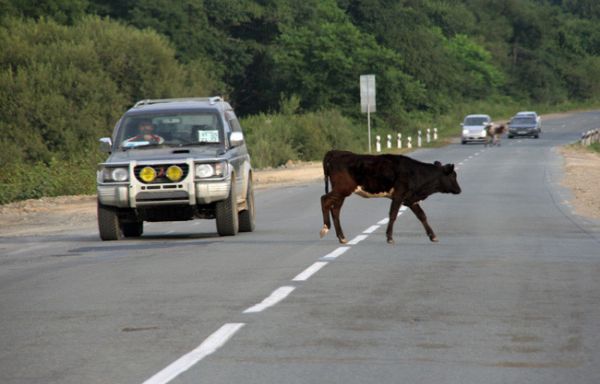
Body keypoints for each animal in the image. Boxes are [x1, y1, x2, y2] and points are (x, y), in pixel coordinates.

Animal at [322, 150, 462, 243]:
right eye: (453, 176)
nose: (459, 190)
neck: (416, 173)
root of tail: (335, 152)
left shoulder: (410, 199)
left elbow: (422, 215)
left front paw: (433, 236)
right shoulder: (399, 196)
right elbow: (393, 215)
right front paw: (389, 237)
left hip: (342, 193)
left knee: (335, 210)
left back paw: (342, 237)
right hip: (342, 189)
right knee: (324, 200)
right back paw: (325, 228)